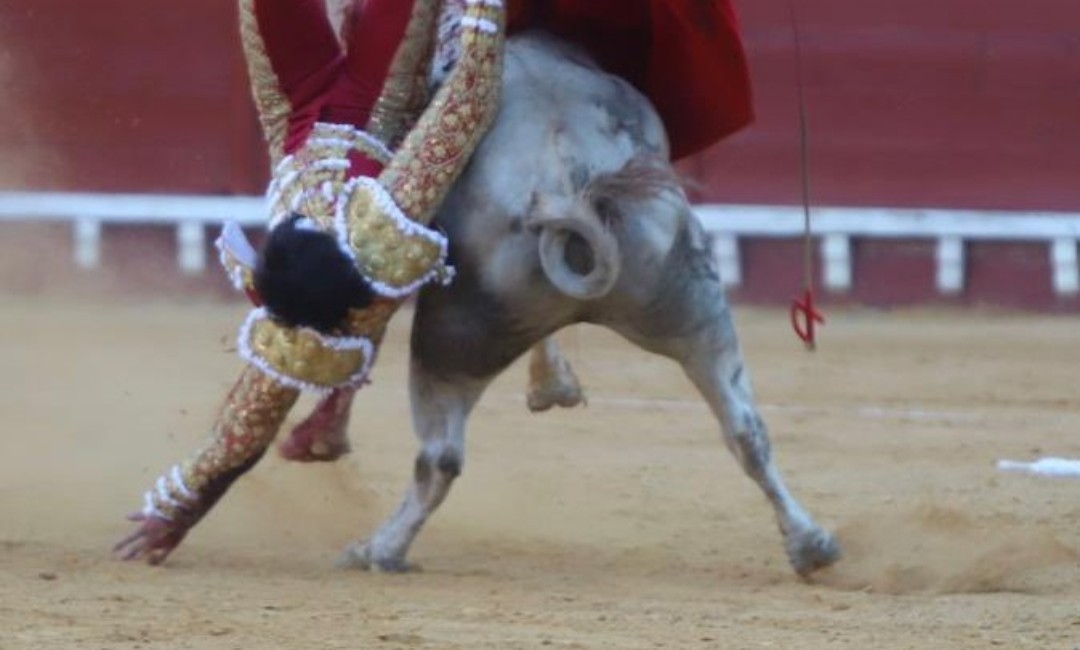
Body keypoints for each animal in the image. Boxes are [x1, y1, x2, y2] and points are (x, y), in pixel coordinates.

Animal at [324, 32, 838, 574]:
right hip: (696, 305)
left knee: (439, 457)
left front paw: (552, 385)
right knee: (746, 428)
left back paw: (377, 550)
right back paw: (811, 544)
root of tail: (565, 178)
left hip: (447, 341)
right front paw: (555, 386)